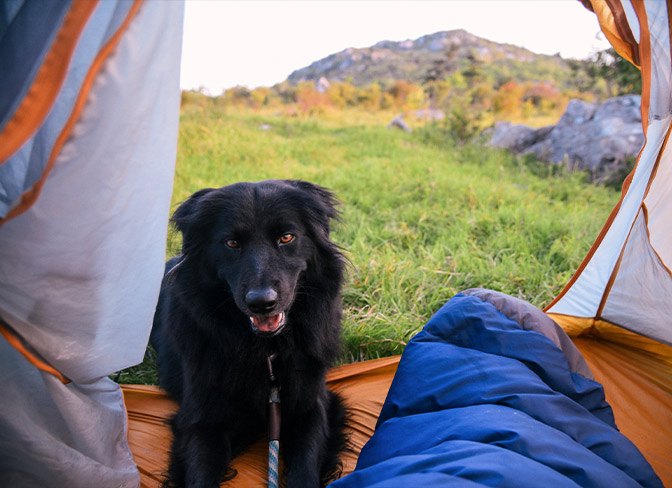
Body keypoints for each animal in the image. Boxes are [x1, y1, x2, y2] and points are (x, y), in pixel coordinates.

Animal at [152, 180, 350, 488]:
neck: (267, 351)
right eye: (231, 243)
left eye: (286, 237)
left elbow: (305, 468)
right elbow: (200, 475)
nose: (262, 302)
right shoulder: (202, 422)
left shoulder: (311, 408)